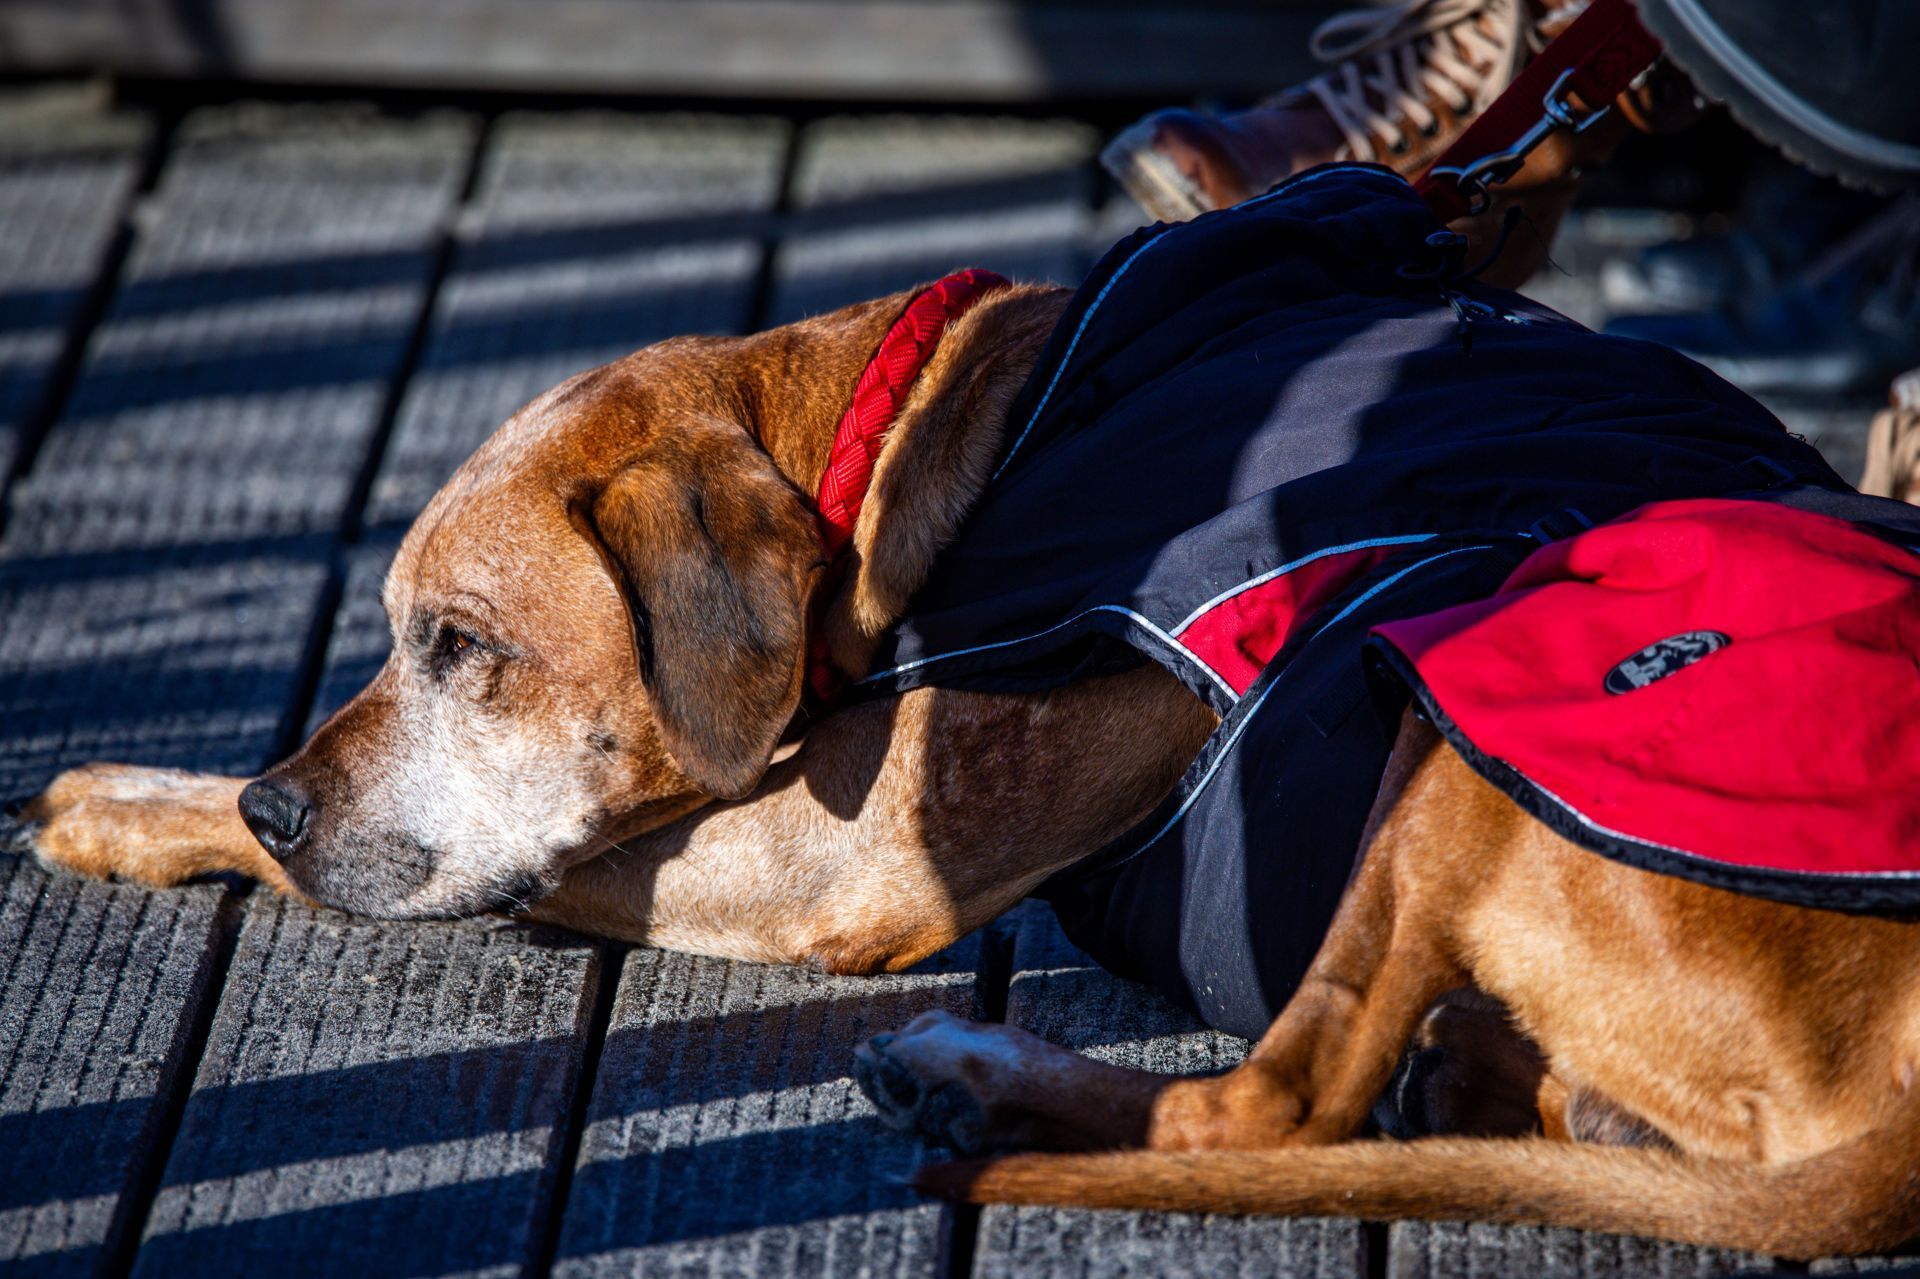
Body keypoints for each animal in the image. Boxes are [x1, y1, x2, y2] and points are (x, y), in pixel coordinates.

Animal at [22, 276, 1920, 1252]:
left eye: (459, 645)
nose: (279, 800)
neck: (904, 434)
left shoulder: (849, 856)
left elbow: (563, 857)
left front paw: (143, 800)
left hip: (1458, 717)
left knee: (1268, 1103)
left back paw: (984, 1072)